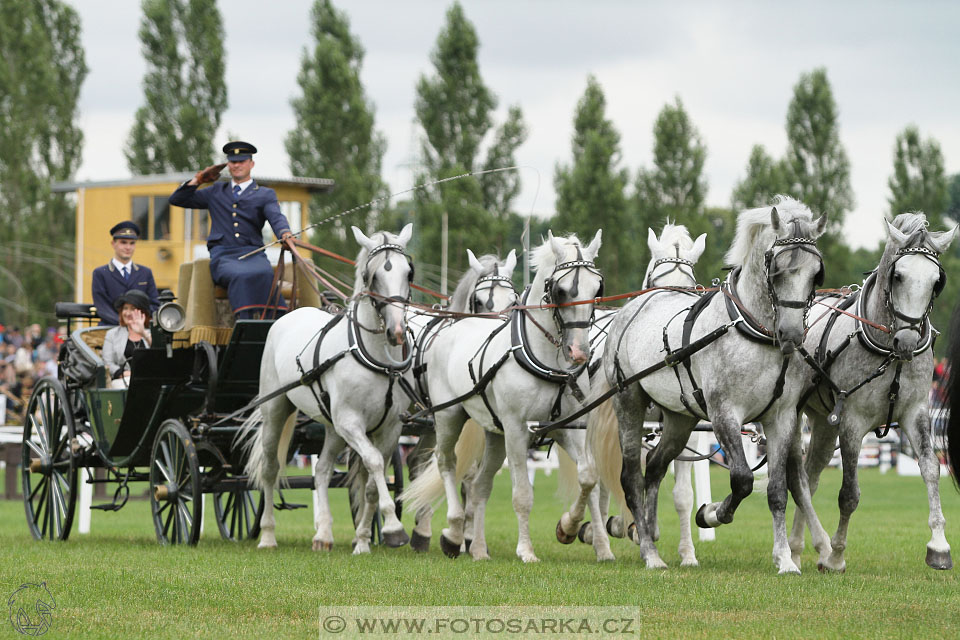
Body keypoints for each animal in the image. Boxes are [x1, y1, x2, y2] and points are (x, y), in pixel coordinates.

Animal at [244, 224, 412, 552]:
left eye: (408, 272)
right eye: (372, 276)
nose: (397, 331)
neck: (373, 356)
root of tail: (290, 313)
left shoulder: (389, 429)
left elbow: (372, 484)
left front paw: (363, 540)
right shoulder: (350, 423)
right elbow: (373, 463)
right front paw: (394, 527)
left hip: (332, 427)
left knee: (321, 469)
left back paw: (323, 534)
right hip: (276, 410)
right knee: (269, 469)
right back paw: (267, 535)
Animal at [404, 230, 604, 560]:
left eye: (597, 288)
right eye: (561, 290)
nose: (578, 352)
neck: (546, 359)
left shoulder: (566, 428)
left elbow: (589, 478)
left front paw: (573, 530)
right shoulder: (516, 429)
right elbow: (522, 494)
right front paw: (526, 551)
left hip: (494, 434)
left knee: (480, 484)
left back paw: (478, 548)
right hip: (448, 417)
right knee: (446, 462)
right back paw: (453, 533)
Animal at [580, 222, 708, 564]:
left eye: (690, 285)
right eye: (655, 280)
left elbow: (681, 494)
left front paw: (686, 552)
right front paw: (636, 530)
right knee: (594, 478)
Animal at [600, 196, 840, 576]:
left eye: (816, 273)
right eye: (776, 269)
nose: (791, 335)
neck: (756, 332)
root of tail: (632, 307)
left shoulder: (782, 417)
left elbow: (777, 490)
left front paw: (785, 558)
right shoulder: (723, 412)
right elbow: (742, 479)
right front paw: (712, 513)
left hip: (680, 418)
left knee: (655, 465)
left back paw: (649, 532)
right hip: (628, 402)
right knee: (631, 477)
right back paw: (650, 553)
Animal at [792, 214, 956, 568]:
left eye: (937, 280)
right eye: (898, 275)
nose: (906, 341)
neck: (890, 353)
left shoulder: (915, 413)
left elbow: (931, 469)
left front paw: (939, 545)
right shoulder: (852, 422)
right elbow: (849, 494)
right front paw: (837, 555)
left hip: (824, 423)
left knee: (810, 476)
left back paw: (797, 548)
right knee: (794, 473)